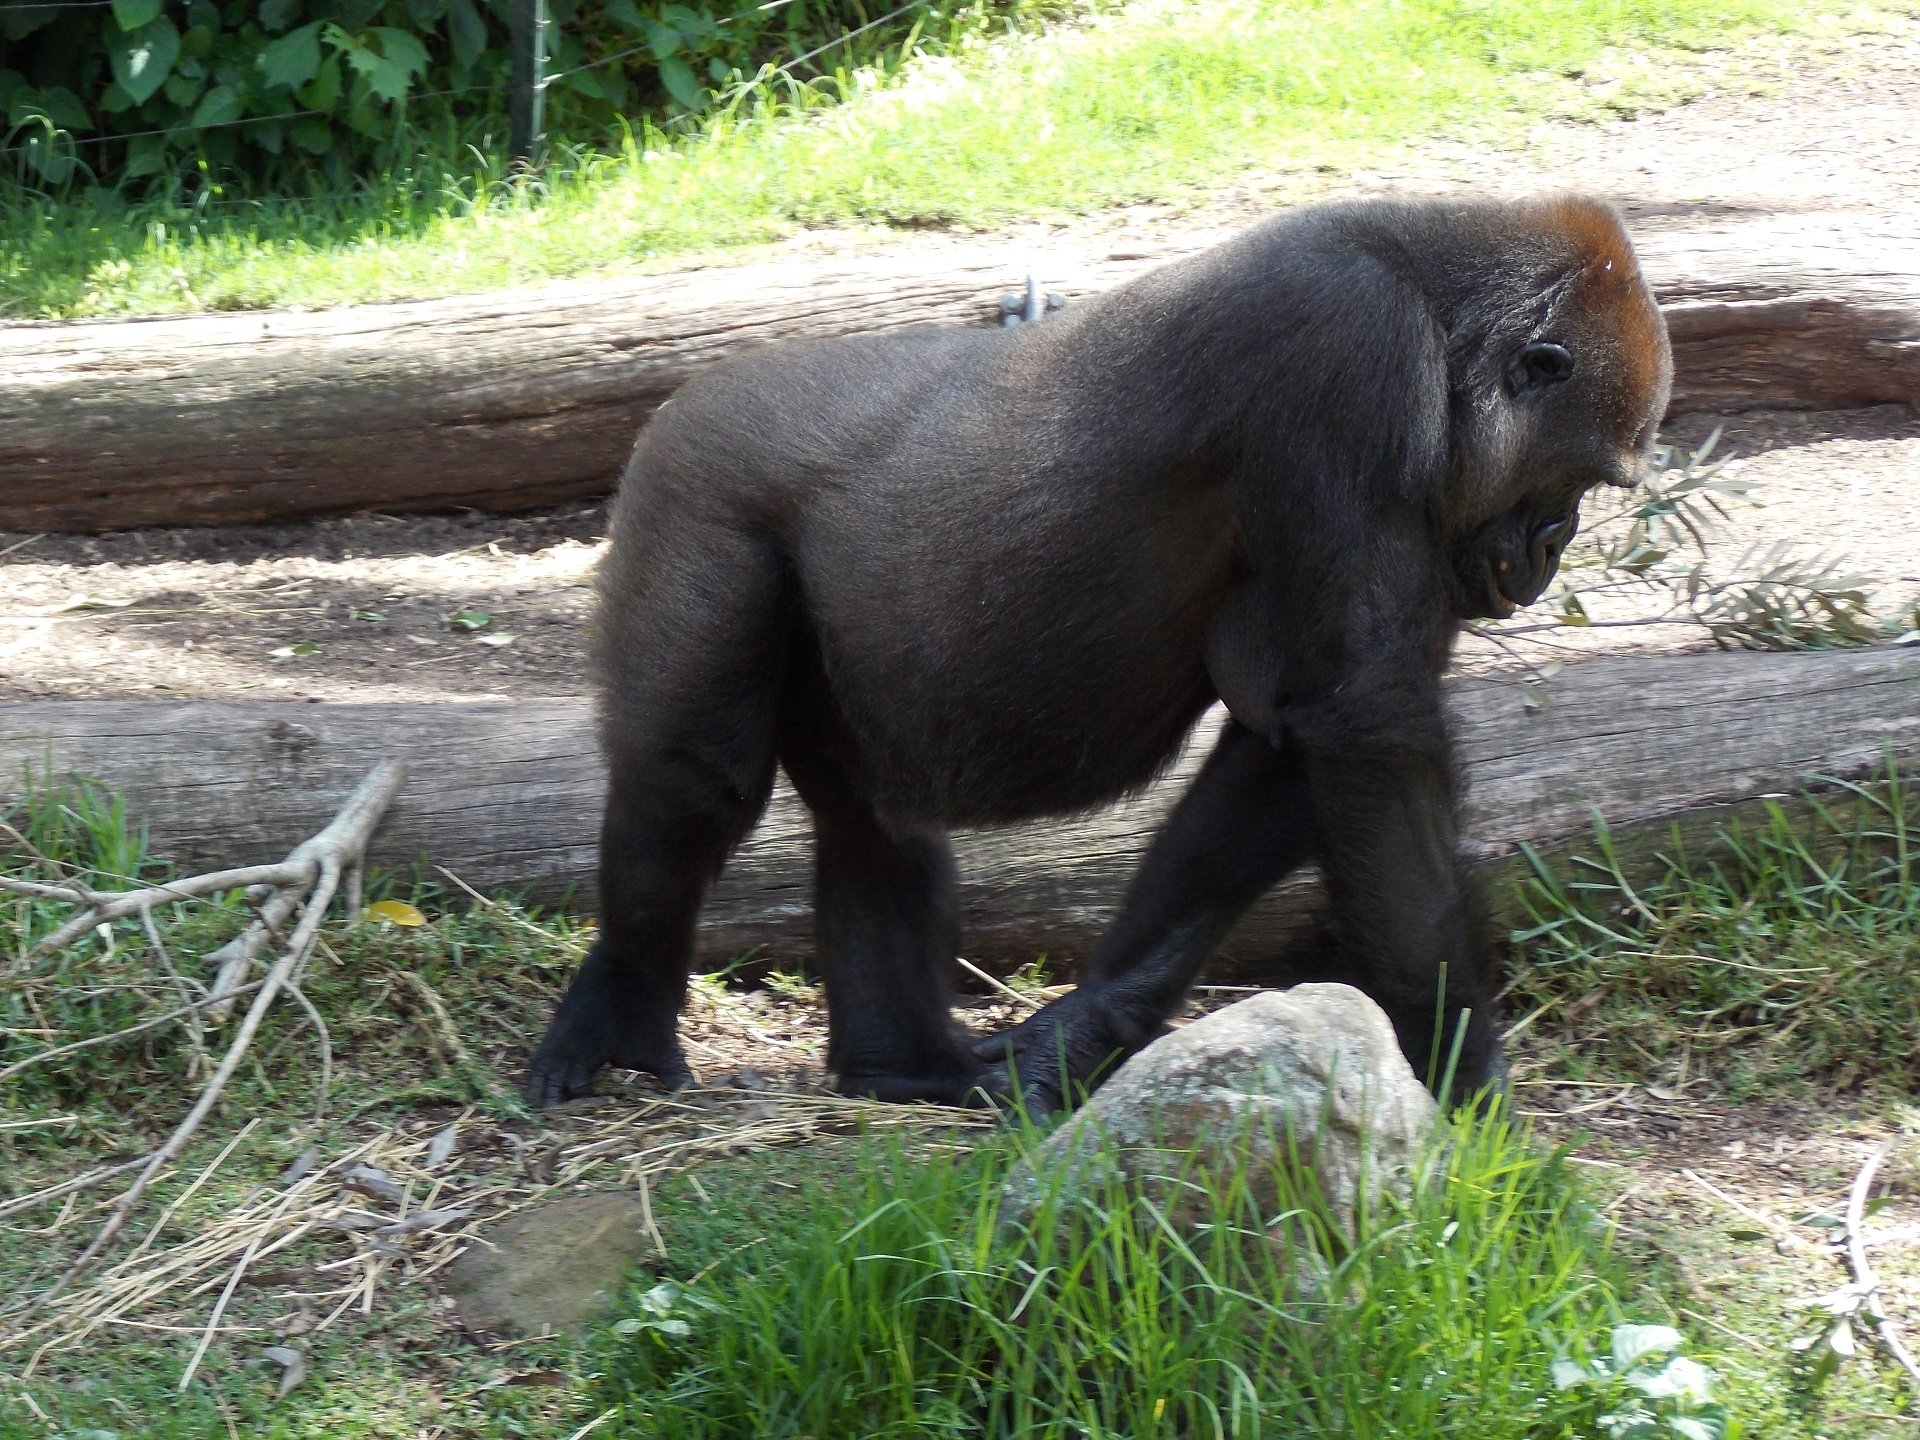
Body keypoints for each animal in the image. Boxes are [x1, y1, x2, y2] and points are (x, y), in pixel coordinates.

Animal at [525, 193, 1672, 1112]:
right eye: (1579, 482)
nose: (1552, 550)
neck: (1440, 311)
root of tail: (684, 395)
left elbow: (1291, 741)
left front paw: (1094, 1022)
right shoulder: (1346, 353)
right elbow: (1365, 734)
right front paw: (1469, 1080)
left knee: (872, 821)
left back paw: (900, 1065)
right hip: (693, 486)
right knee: (691, 780)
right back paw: (623, 1003)